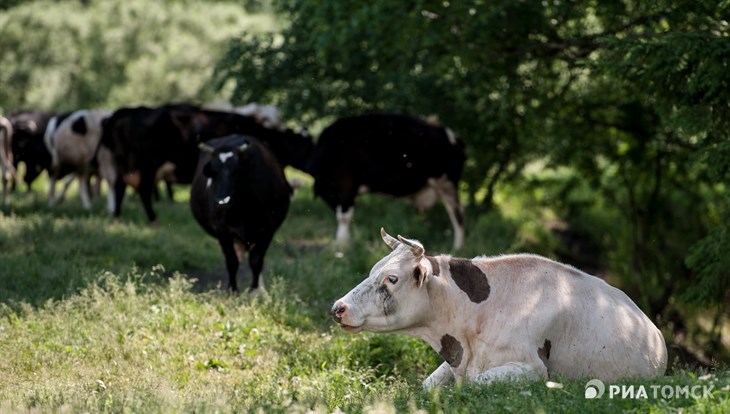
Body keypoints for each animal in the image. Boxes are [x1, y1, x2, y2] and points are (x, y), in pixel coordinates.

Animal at [99, 105, 310, 225]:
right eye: (306, 145)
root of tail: (127, 111)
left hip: (125, 163)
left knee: (119, 186)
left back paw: (117, 216)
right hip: (147, 164)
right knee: (143, 189)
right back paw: (153, 219)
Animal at [189, 135, 292, 292]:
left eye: (236, 171)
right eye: (213, 173)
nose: (222, 202)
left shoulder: (268, 229)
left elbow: (256, 260)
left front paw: (255, 290)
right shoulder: (222, 230)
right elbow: (232, 261)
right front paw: (232, 290)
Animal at [302, 113, 464, 249]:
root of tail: (451, 135)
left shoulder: (345, 186)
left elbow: (343, 217)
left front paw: (342, 244)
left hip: (445, 183)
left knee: (457, 213)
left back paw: (458, 246)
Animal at [330, 230, 664, 388]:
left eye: (392, 278)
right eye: (373, 270)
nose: (338, 307)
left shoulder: (533, 369)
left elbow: (478, 383)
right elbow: (426, 385)